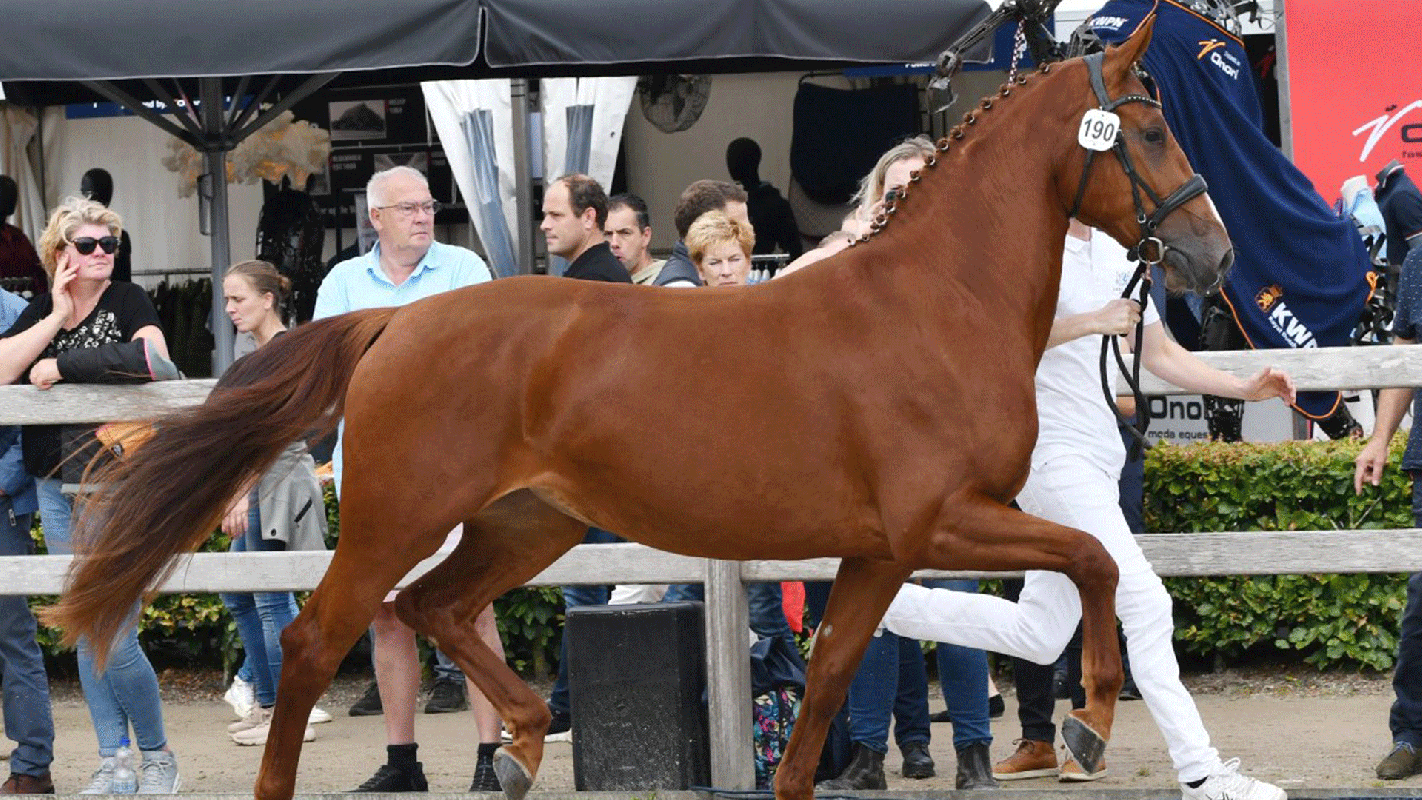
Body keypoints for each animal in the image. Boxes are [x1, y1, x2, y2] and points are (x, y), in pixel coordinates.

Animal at [47, 16, 1229, 800]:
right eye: (1152, 131)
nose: (1213, 256)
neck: (938, 302)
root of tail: (396, 323)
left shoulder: (879, 551)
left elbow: (824, 689)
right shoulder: (937, 522)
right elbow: (1095, 557)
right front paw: (1089, 720)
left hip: (530, 522)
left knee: (436, 610)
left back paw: (523, 742)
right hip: (398, 518)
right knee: (315, 638)